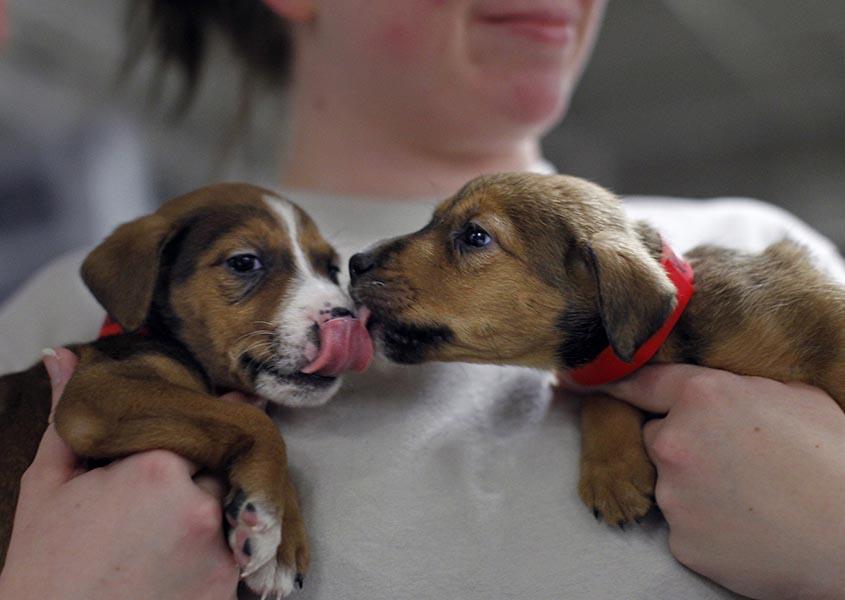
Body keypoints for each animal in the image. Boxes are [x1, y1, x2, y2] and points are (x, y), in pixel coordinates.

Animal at [0, 184, 372, 600]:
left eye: (333, 269)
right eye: (244, 262)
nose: (350, 322)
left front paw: (283, 541)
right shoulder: (98, 392)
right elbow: (255, 420)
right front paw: (272, 520)